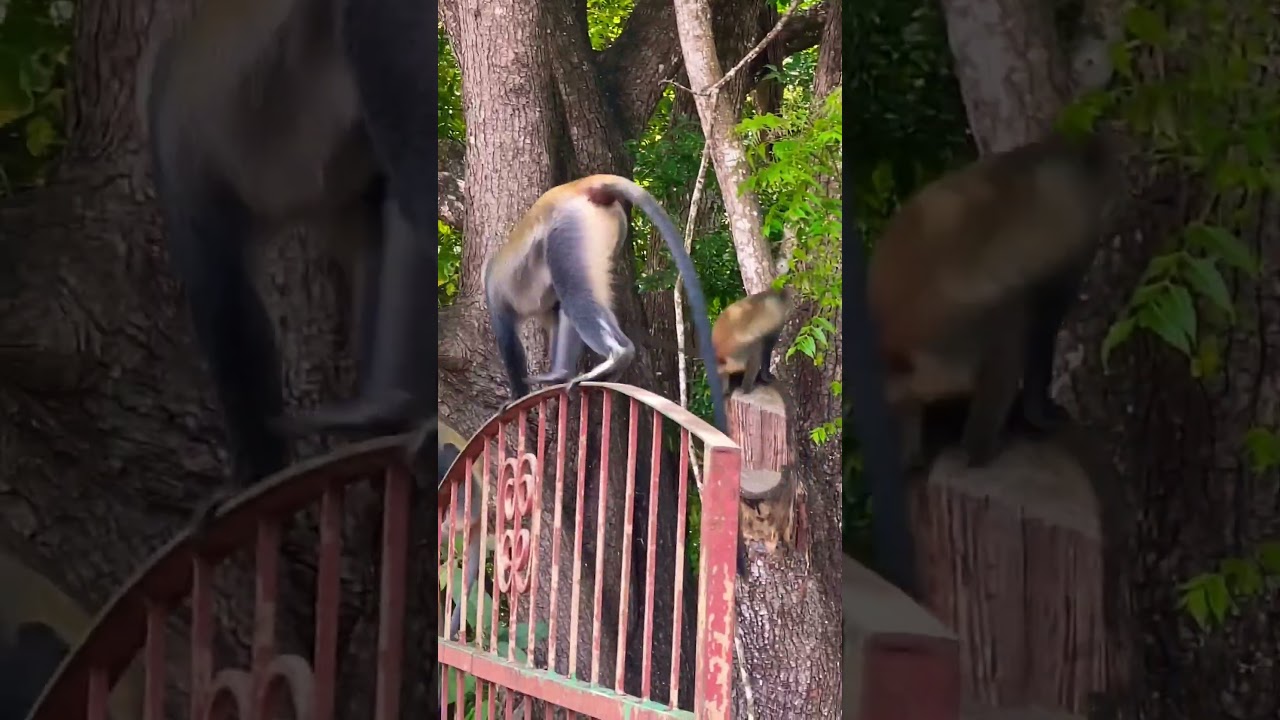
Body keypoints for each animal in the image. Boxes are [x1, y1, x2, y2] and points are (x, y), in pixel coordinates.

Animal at [483, 174, 728, 434]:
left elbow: (509, 340)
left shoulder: (495, 296)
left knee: (576, 296)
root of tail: (579, 185)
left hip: (569, 227)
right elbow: (559, 314)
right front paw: (558, 375)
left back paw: (617, 355)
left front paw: (517, 396)